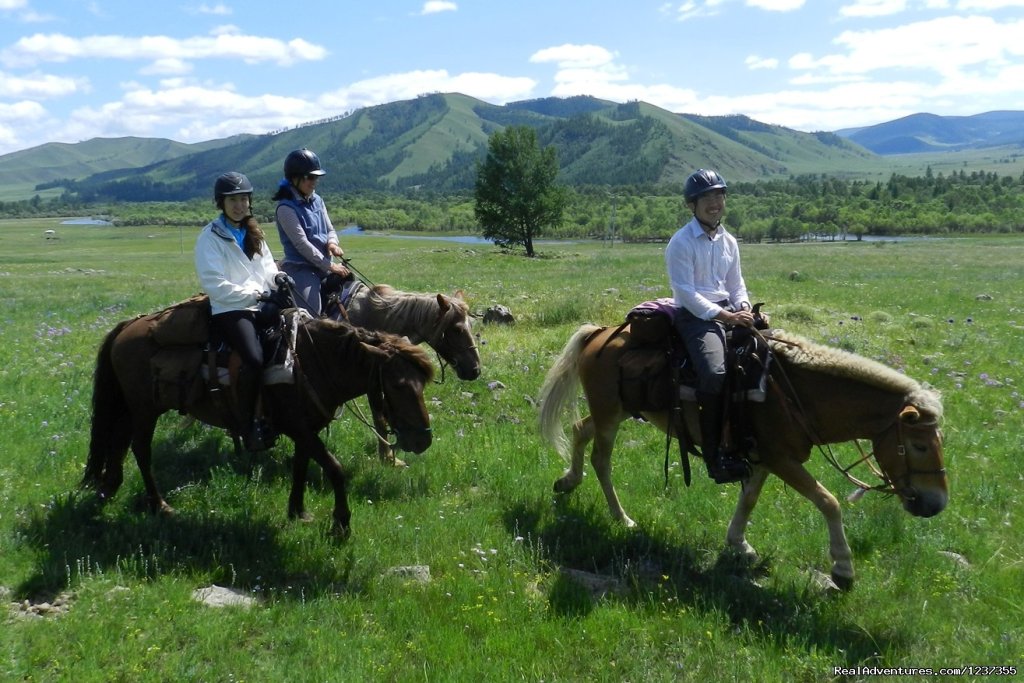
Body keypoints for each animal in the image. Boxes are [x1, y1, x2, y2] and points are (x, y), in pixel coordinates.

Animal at [80, 317, 432, 536]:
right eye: (399, 385)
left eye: (423, 384)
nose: (423, 441)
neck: (313, 363)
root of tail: (129, 325)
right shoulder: (297, 427)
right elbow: (334, 469)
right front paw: (341, 524)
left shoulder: (307, 429)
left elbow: (301, 466)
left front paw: (298, 511)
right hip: (145, 409)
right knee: (140, 448)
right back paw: (159, 505)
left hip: (132, 407)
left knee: (119, 442)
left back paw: (108, 488)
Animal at [540, 325, 946, 589]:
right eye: (920, 446)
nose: (936, 504)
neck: (798, 393)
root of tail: (598, 332)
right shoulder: (782, 459)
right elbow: (828, 501)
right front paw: (843, 569)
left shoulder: (762, 458)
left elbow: (749, 500)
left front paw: (739, 544)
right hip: (611, 414)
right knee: (601, 459)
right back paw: (621, 517)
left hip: (618, 410)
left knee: (579, 429)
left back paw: (567, 481)